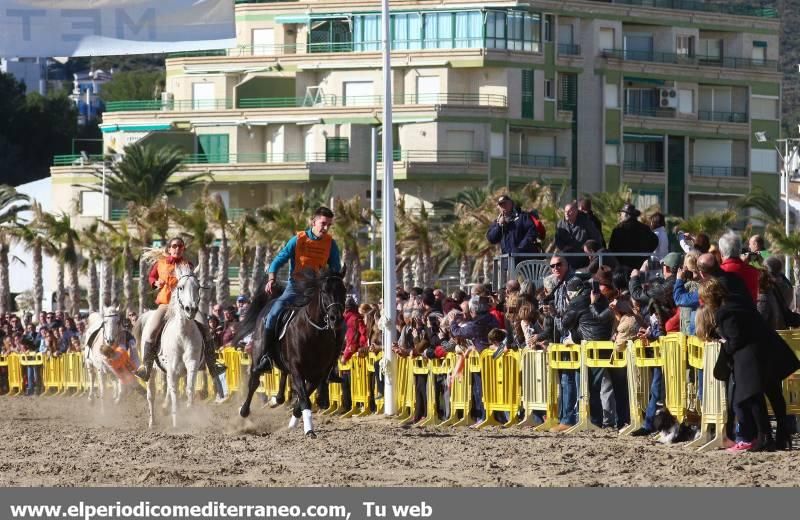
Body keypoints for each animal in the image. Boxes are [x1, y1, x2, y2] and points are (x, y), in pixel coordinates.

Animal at [141, 266, 205, 428]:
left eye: (198, 287)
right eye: (180, 287)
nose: (190, 309)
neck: (182, 335)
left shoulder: (191, 364)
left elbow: (189, 388)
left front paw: (189, 410)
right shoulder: (172, 367)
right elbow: (175, 392)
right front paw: (176, 422)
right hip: (152, 372)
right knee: (151, 394)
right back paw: (152, 422)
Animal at [238, 266, 350, 436]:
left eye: (343, 290)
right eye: (324, 291)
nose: (335, 318)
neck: (314, 334)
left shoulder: (317, 375)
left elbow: (303, 398)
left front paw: (294, 422)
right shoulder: (297, 370)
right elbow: (303, 397)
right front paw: (309, 430)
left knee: (283, 378)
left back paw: (275, 400)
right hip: (258, 353)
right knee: (254, 381)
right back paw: (244, 410)